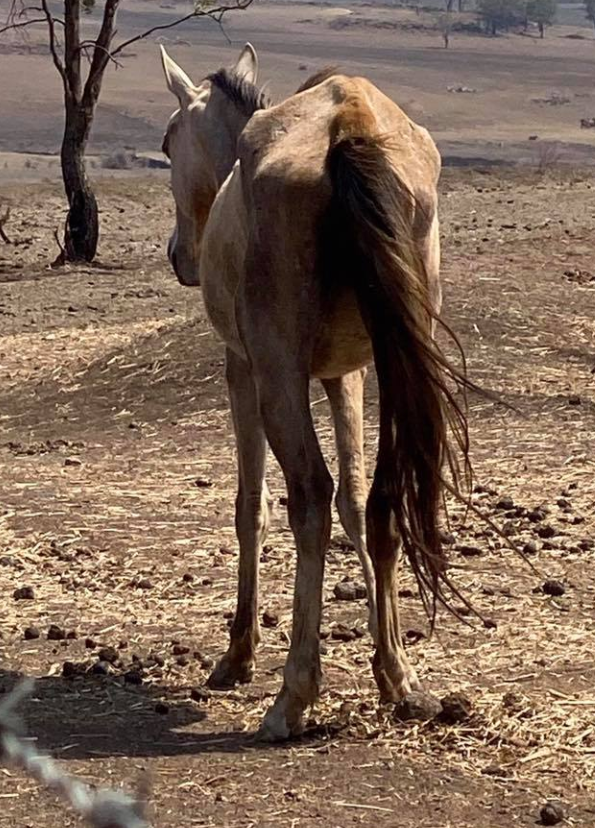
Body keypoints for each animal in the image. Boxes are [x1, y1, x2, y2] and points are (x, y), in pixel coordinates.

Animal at [161, 45, 472, 740]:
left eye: (167, 142)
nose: (178, 255)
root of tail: (348, 125)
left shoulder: (244, 368)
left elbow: (252, 506)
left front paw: (238, 654)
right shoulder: (346, 374)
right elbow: (357, 503)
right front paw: (389, 658)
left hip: (278, 376)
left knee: (308, 496)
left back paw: (293, 694)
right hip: (397, 362)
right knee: (383, 499)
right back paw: (400, 682)